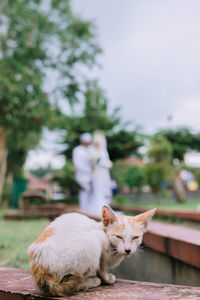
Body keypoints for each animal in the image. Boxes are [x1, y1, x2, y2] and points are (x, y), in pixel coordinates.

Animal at [27, 205, 156, 296]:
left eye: (135, 237)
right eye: (119, 237)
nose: (127, 250)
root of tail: (40, 270)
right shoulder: (101, 240)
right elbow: (102, 266)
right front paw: (106, 279)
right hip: (91, 243)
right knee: (70, 284)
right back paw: (92, 281)